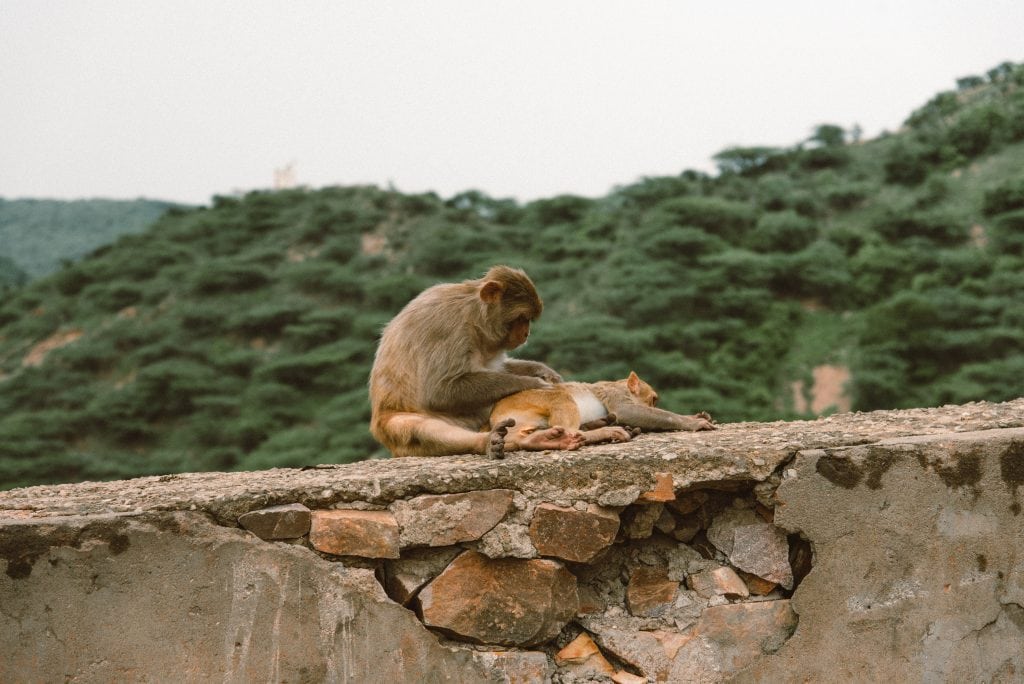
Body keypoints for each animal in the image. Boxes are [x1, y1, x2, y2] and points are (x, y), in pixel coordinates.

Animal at [369, 265, 580, 458]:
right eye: (521, 318)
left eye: (528, 319)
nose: (526, 333)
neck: (473, 315)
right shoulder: (445, 326)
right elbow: (439, 390)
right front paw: (533, 383)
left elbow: (501, 367)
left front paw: (543, 371)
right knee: (418, 427)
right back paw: (489, 442)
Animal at [488, 371, 715, 457]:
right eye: (653, 400)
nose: (654, 402)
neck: (619, 385)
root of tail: (493, 417)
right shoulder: (615, 394)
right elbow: (626, 411)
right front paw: (692, 422)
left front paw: (696, 417)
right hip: (532, 402)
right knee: (563, 405)